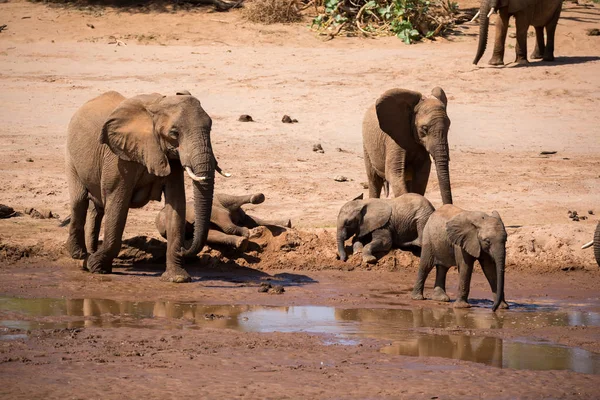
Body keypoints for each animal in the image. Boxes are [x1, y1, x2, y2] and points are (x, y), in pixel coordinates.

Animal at [65, 90, 225, 284]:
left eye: (210, 128)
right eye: (174, 133)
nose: (184, 248)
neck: (157, 107)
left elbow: (176, 204)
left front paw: (177, 278)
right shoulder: (118, 158)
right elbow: (117, 203)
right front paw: (97, 266)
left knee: (97, 208)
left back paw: (89, 256)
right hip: (71, 155)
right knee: (79, 201)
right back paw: (80, 256)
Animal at [155, 192, 292, 252]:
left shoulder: (212, 212)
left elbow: (224, 223)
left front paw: (247, 233)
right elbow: (213, 235)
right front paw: (242, 242)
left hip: (219, 199)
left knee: (231, 201)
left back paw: (258, 198)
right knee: (252, 219)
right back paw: (286, 223)